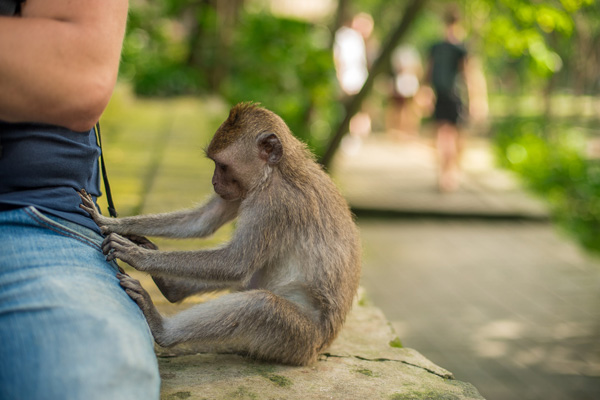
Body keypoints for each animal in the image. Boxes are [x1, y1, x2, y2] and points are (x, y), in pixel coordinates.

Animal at [79, 102, 360, 366]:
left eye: (222, 166)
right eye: (215, 164)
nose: (214, 182)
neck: (275, 172)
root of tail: (319, 349)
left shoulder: (274, 204)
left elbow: (235, 263)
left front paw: (137, 256)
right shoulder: (244, 192)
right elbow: (204, 221)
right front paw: (113, 223)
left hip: (298, 339)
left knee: (260, 304)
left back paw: (163, 329)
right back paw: (171, 287)